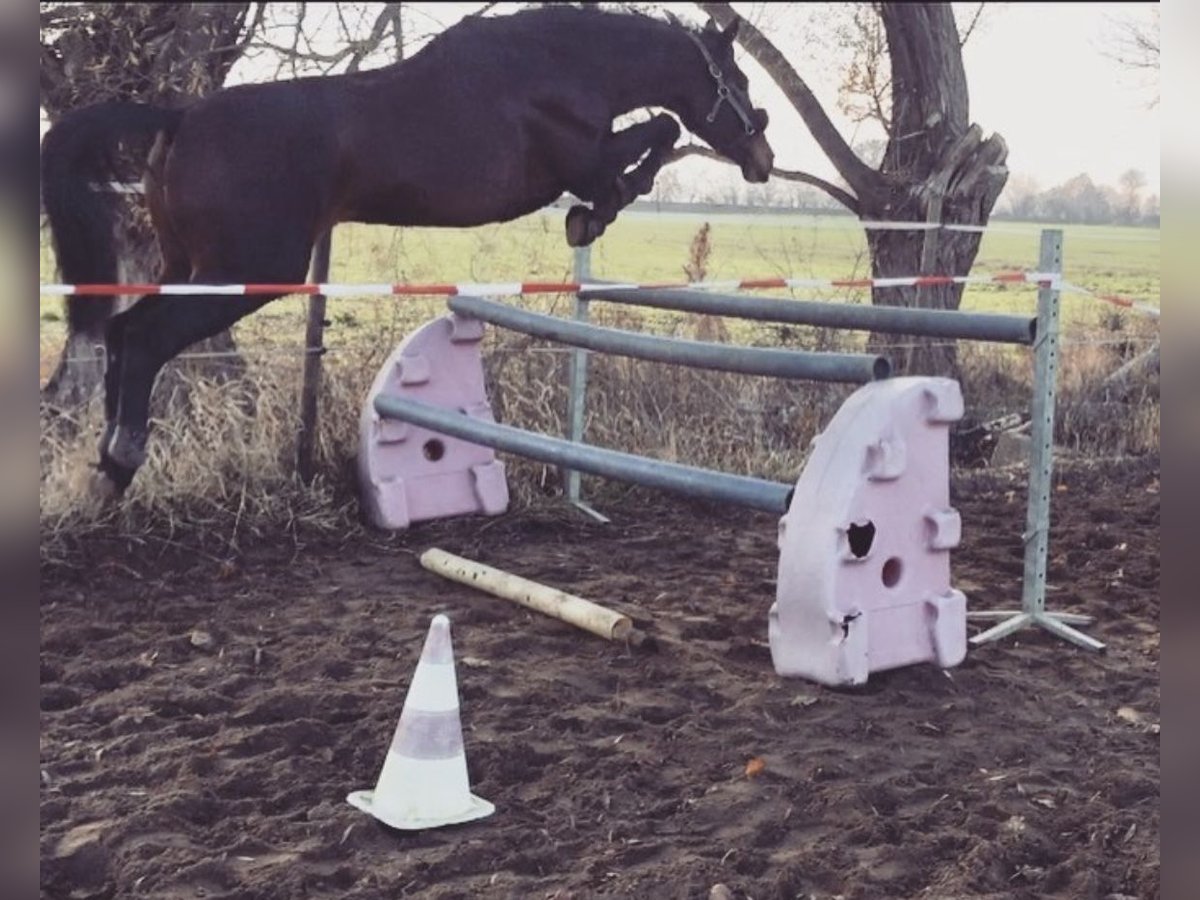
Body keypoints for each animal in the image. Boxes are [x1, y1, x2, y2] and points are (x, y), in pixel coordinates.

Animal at [42, 3, 772, 494]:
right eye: (737, 81)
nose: (763, 160)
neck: (558, 65)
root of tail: (179, 117)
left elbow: (660, 129)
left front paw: (590, 219)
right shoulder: (583, 160)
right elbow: (659, 130)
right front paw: (593, 217)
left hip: (189, 266)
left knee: (124, 331)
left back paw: (106, 464)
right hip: (246, 272)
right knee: (146, 338)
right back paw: (122, 460)